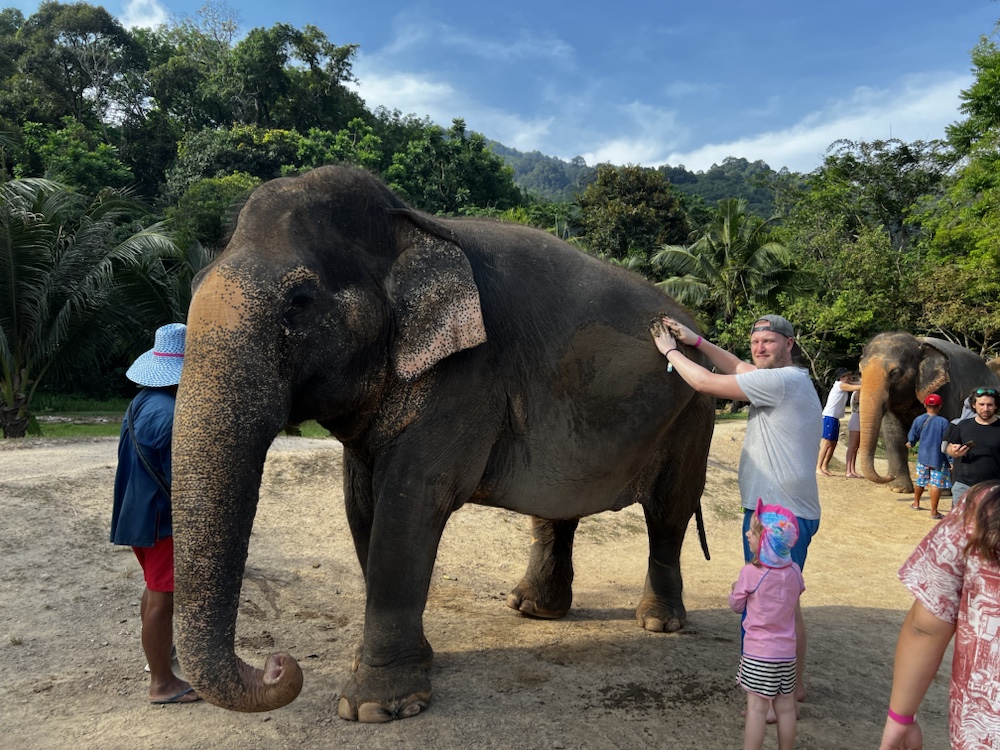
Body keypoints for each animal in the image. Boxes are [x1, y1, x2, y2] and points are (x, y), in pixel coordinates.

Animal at [171, 165, 716, 723]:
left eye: (299, 302)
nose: (280, 666)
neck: (409, 223)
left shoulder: (469, 375)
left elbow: (410, 503)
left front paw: (376, 708)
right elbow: (361, 507)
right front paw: (412, 666)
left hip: (694, 414)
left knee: (668, 513)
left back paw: (659, 624)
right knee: (558, 508)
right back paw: (533, 611)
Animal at [857, 332, 1000, 492]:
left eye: (894, 373)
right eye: (860, 371)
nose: (889, 476)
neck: (917, 342)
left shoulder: (947, 391)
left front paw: (943, 490)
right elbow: (894, 434)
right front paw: (898, 489)